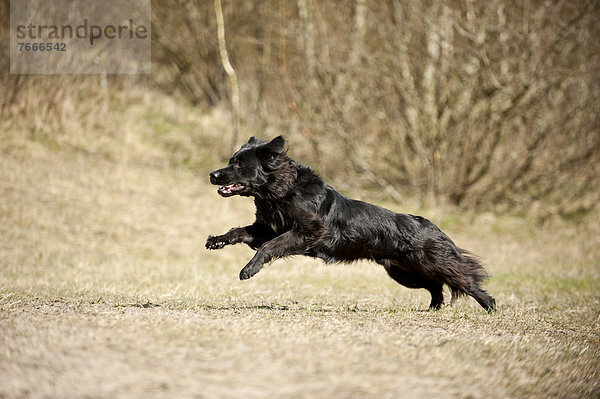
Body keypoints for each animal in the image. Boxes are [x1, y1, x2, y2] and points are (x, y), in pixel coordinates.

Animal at [206, 137, 496, 312]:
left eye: (240, 164)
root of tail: (430, 225)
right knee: (436, 287)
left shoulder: (308, 232)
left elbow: (268, 247)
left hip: (431, 264)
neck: (282, 191)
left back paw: (489, 305)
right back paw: (433, 309)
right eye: (231, 161)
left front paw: (249, 269)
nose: (212, 174)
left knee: (464, 278)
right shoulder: (267, 228)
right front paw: (217, 240)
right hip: (404, 273)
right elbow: (239, 232)